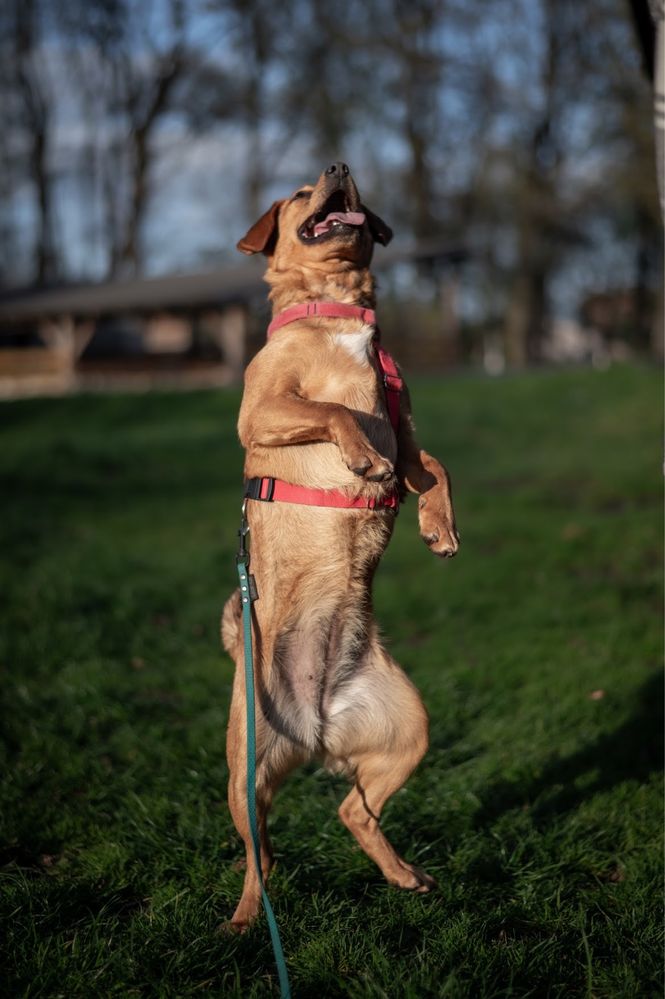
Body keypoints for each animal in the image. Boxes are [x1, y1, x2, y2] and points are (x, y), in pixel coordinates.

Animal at [220, 160, 460, 932]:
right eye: (299, 193)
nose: (339, 165)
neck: (339, 311)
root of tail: (314, 727)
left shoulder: (407, 433)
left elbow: (435, 465)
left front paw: (438, 525)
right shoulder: (262, 411)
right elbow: (331, 409)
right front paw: (358, 459)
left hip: (409, 731)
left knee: (351, 811)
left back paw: (403, 874)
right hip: (244, 770)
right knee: (257, 856)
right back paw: (244, 921)